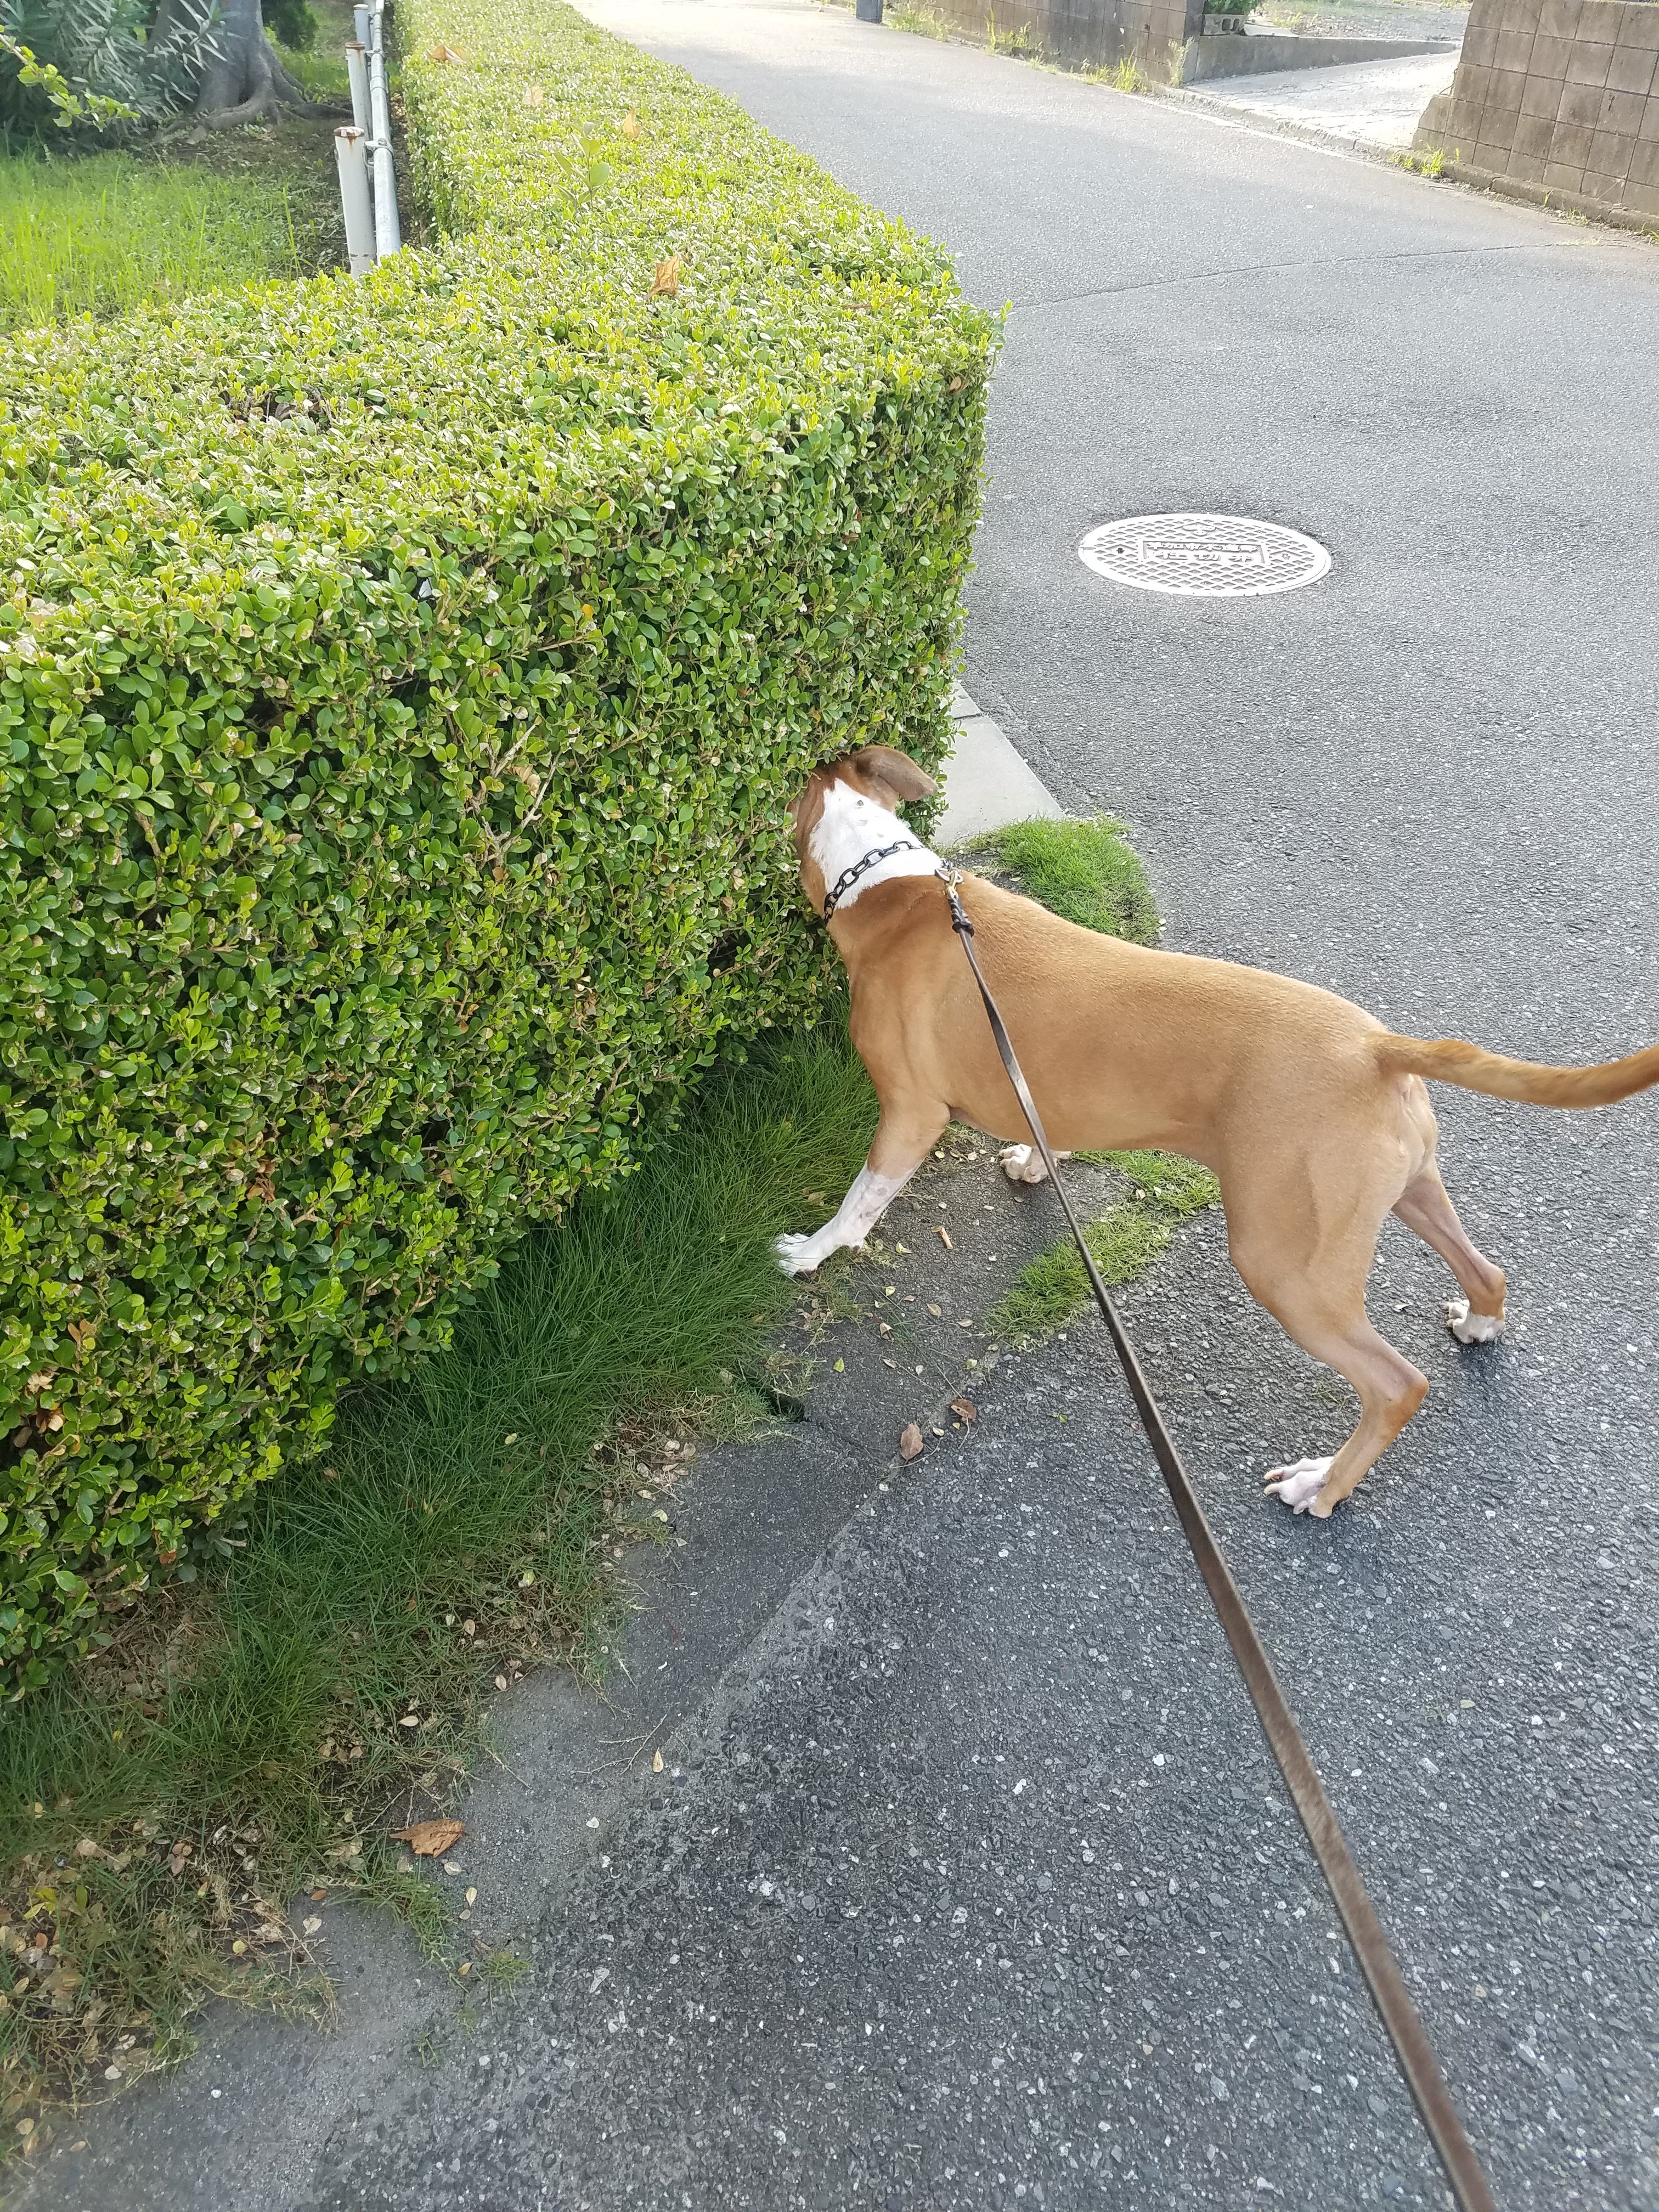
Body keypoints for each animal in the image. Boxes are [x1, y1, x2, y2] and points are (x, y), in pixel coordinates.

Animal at [774, 745, 1659, 1519]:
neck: (887, 885)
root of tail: (1376, 1046)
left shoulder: (909, 1113)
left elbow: (860, 1203)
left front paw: (811, 1253)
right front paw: (1032, 1160)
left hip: (1285, 1265)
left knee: (1395, 1384)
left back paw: (1321, 1486)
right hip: (1407, 1191)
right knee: (1487, 1269)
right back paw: (1480, 1322)